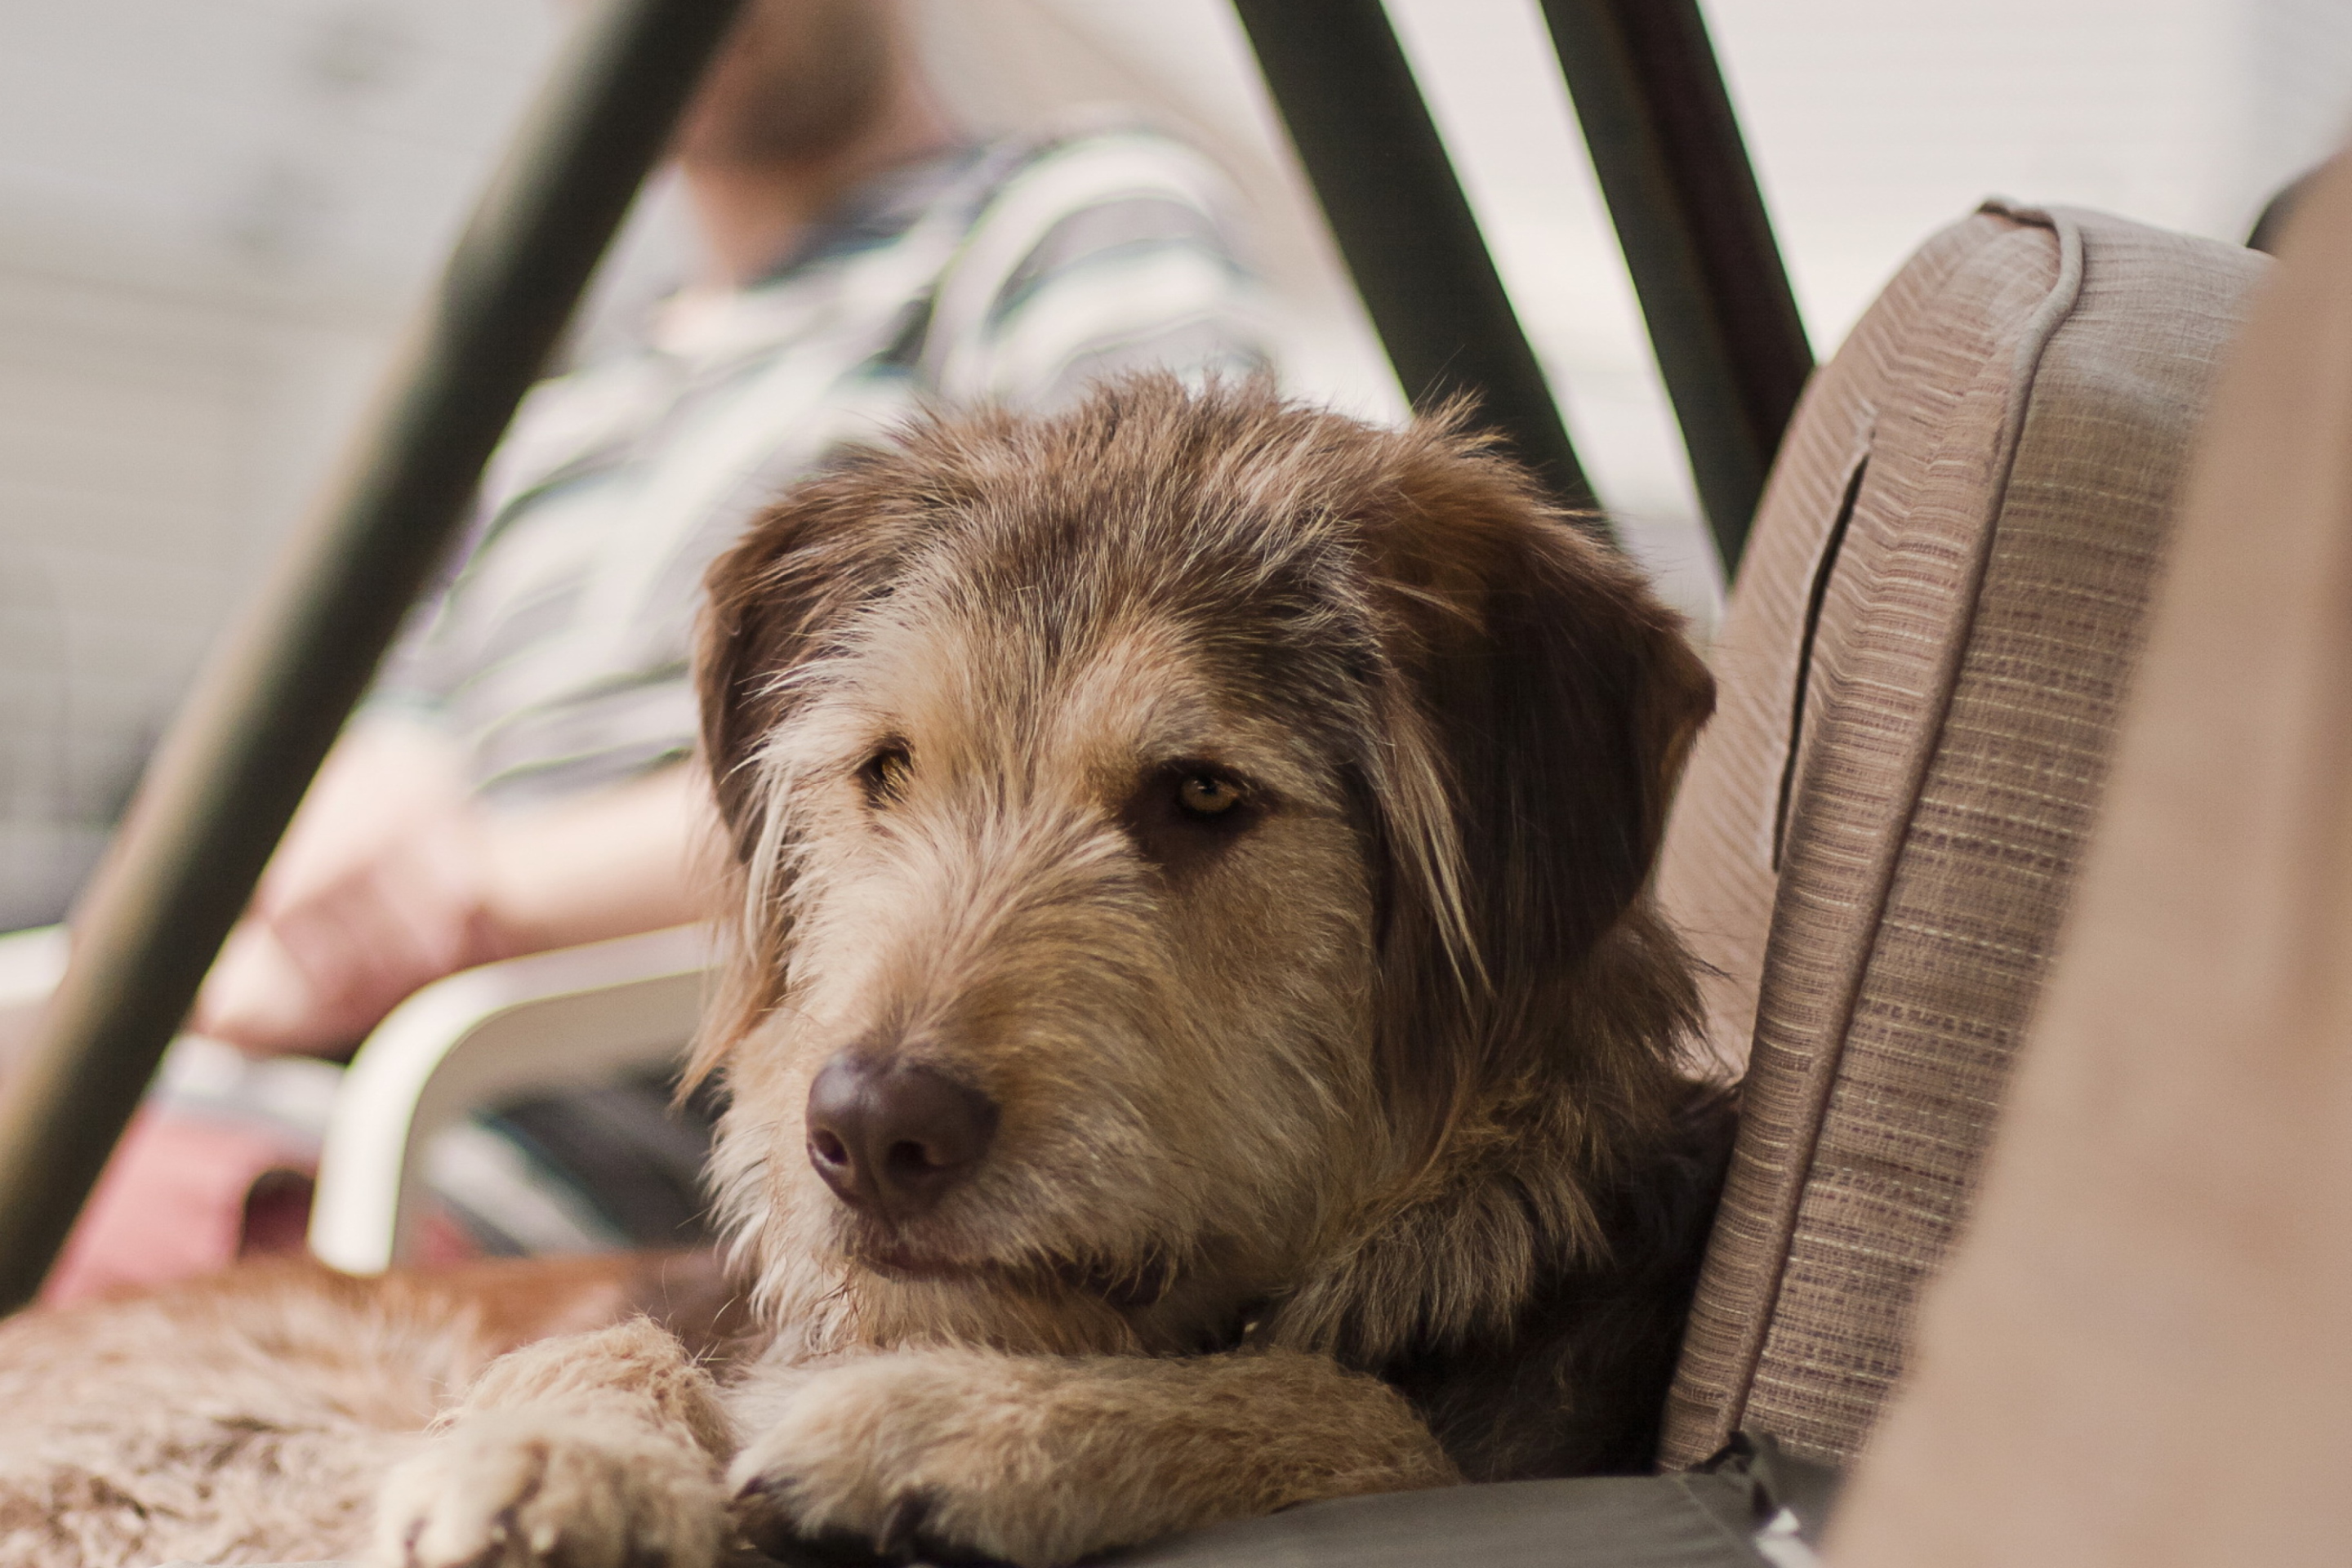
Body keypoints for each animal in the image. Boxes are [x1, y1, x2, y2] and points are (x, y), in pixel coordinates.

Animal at [0, 381, 1740, 1568]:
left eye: (1203, 796)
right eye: (886, 770)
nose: (869, 1130)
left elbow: (1371, 1419)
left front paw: (967, 1429)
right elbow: (600, 1341)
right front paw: (560, 1453)